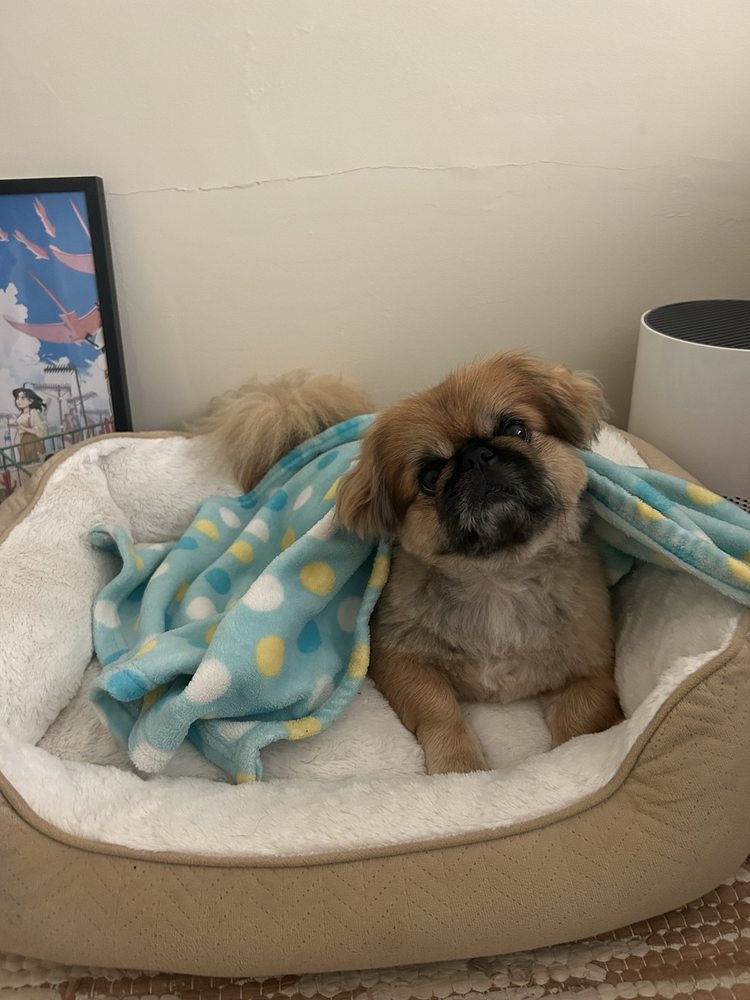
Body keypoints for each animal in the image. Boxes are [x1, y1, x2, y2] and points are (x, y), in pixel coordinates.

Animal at [199, 354, 622, 775]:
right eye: (430, 476)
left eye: (516, 429)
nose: (474, 456)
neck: (498, 578)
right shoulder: (398, 658)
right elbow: (440, 711)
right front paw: (459, 768)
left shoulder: (592, 668)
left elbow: (579, 724)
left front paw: (570, 759)